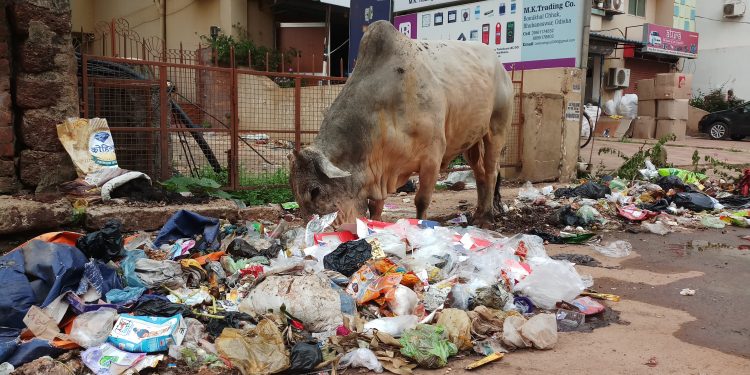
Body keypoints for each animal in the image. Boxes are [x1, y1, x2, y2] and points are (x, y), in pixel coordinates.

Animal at [290, 20, 516, 228]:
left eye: (315, 191)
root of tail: (501, 68)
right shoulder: (381, 164)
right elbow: (376, 205)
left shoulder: (432, 158)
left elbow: (422, 200)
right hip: (471, 141)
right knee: (479, 174)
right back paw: (478, 213)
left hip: (497, 129)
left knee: (491, 171)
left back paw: (486, 218)